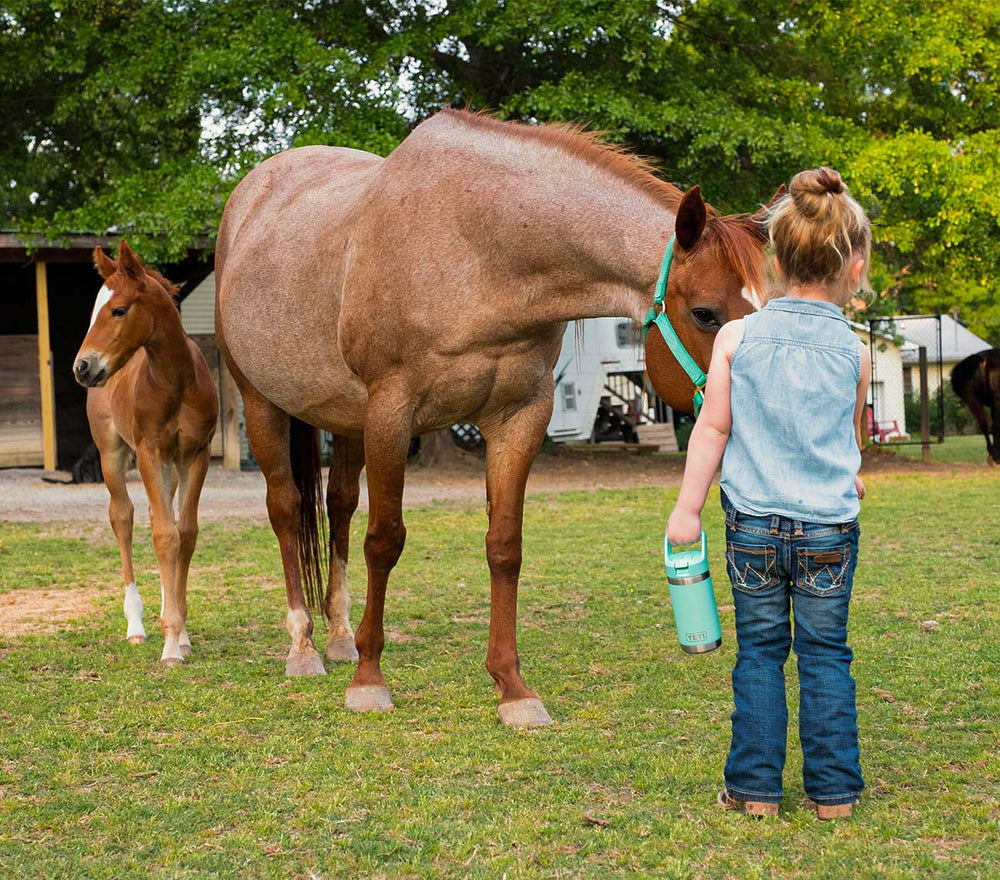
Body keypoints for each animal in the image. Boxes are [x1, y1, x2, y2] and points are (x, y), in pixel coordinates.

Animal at [75, 241, 220, 668]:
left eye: (119, 310)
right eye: (96, 310)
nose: (82, 366)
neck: (177, 381)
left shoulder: (196, 455)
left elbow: (183, 534)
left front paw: (180, 633)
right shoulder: (148, 453)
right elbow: (162, 535)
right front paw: (170, 645)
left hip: (170, 467)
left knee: (163, 517)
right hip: (112, 453)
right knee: (123, 517)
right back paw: (137, 626)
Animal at [217, 110, 780, 724]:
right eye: (705, 314)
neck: (476, 251)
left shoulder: (519, 417)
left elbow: (504, 547)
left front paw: (512, 688)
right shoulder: (391, 414)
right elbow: (384, 541)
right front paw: (369, 681)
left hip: (344, 419)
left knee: (337, 506)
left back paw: (341, 636)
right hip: (262, 402)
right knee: (287, 509)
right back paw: (303, 646)